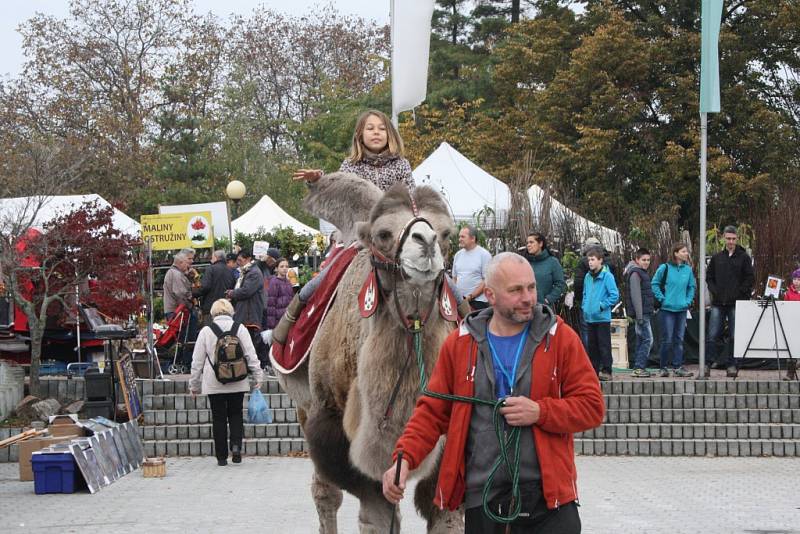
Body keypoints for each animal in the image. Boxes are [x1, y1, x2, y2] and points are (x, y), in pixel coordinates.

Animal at [276, 174, 462, 532]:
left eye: (446, 233)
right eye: (384, 234)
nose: (426, 242)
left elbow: (444, 511)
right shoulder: (332, 425)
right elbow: (375, 512)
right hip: (304, 406)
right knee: (325, 493)